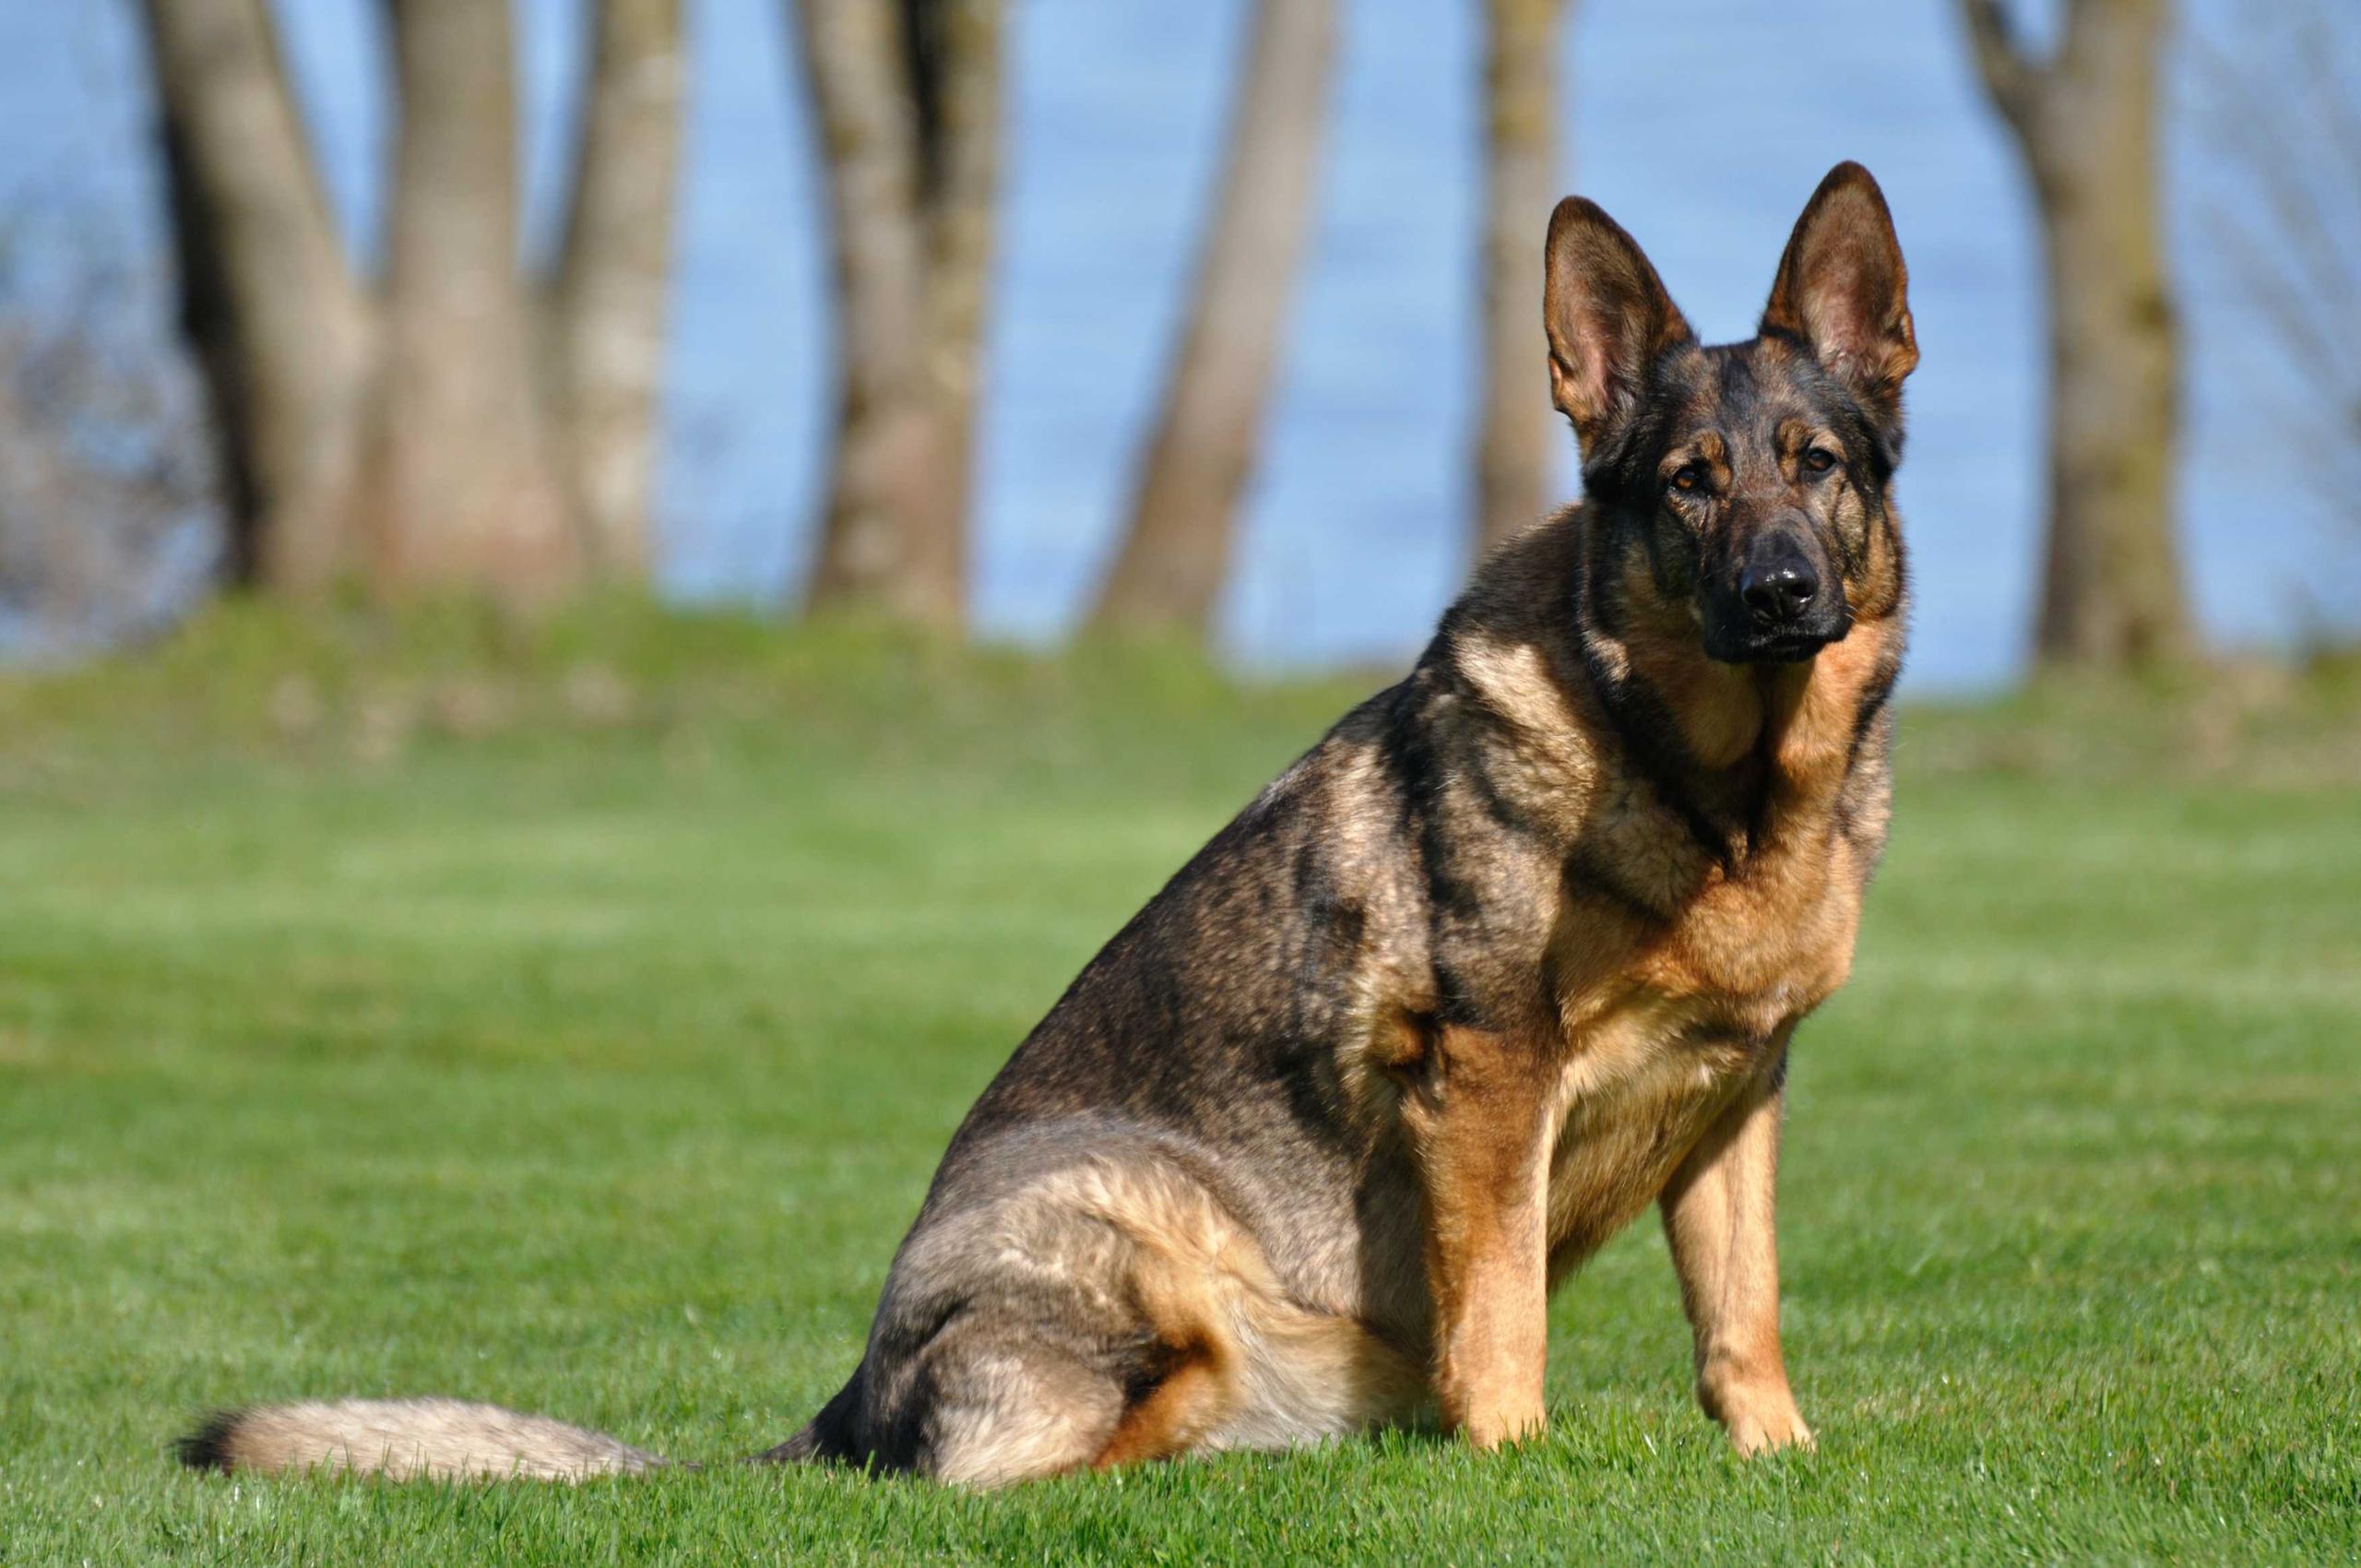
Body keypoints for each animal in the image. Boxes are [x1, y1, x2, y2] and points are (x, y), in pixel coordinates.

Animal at [179, 165, 1916, 1492]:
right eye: (1688, 484)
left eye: (1816, 468)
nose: (1781, 595)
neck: (1713, 789)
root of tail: (848, 1401)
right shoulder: (1486, 1079)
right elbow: (1501, 1316)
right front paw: (1512, 1465)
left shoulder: (1737, 1093)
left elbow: (1742, 1312)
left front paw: (1779, 1456)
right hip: (1150, 1237)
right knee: (983, 1477)